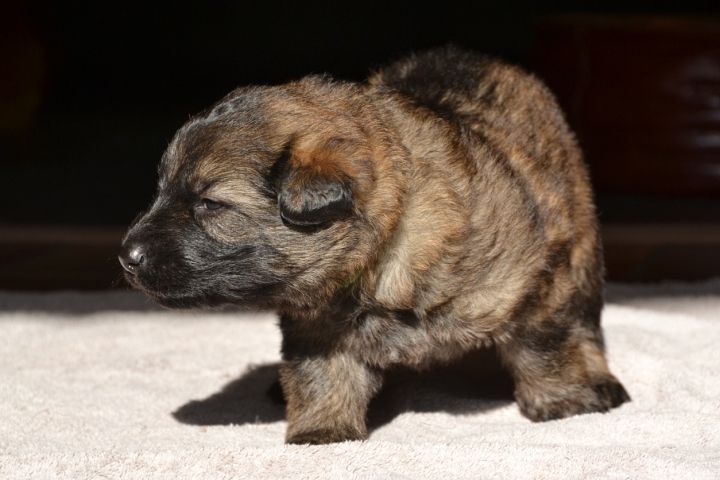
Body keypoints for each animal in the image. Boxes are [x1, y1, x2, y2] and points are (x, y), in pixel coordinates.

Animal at [120, 47, 629, 444]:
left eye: (210, 204)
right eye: (162, 189)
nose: (126, 257)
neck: (381, 256)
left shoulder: (537, 282)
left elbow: (545, 345)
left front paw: (562, 401)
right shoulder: (315, 325)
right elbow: (321, 374)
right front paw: (322, 430)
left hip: (583, 253)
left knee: (586, 327)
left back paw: (600, 383)